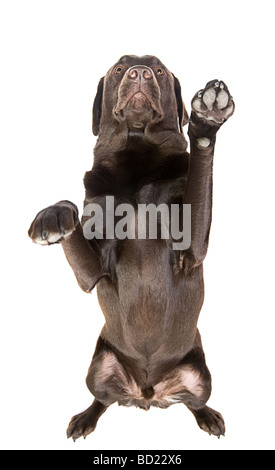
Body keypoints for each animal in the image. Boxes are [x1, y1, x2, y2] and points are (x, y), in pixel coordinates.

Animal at [28, 55, 235, 440]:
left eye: (160, 70)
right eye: (119, 69)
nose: (140, 72)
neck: (137, 155)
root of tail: (147, 393)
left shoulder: (192, 248)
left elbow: (200, 174)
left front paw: (206, 118)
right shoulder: (94, 271)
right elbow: (74, 224)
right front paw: (54, 216)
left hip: (200, 376)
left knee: (194, 401)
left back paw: (208, 417)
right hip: (98, 366)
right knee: (103, 399)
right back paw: (85, 418)